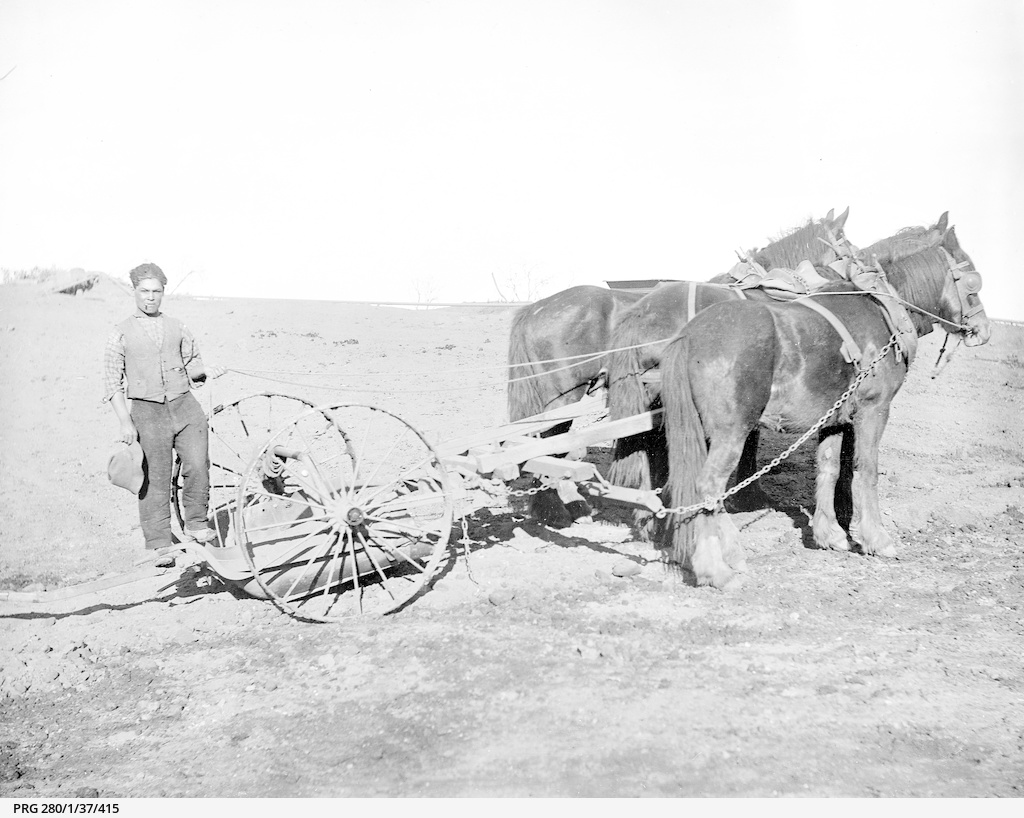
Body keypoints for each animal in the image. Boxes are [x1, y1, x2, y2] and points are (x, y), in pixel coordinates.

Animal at [658, 219, 990, 589]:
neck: (881, 310)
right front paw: (877, 538)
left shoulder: (832, 419)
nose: (984, 329)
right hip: (731, 431)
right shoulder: (874, 410)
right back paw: (715, 568)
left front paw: (829, 534)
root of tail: (691, 333)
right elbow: (866, 470)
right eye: (972, 281)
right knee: (709, 486)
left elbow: (828, 469)